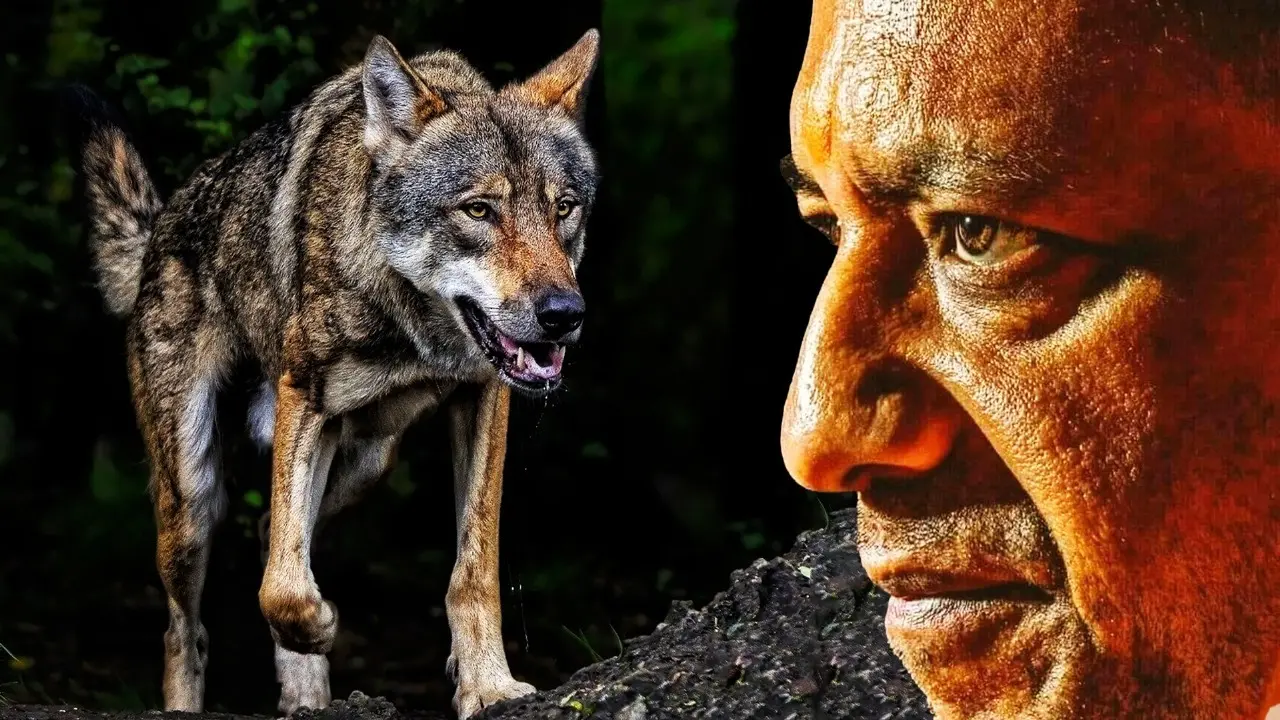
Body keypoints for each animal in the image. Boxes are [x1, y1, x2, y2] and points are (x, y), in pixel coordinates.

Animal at [69, 28, 600, 719]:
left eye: (564, 208)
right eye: (479, 210)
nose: (564, 314)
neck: (413, 328)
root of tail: (160, 228)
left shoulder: (485, 398)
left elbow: (473, 569)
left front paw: (487, 685)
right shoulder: (305, 399)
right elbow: (281, 589)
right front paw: (320, 626)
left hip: (367, 463)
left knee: (273, 534)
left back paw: (307, 693)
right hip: (191, 500)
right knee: (188, 627)